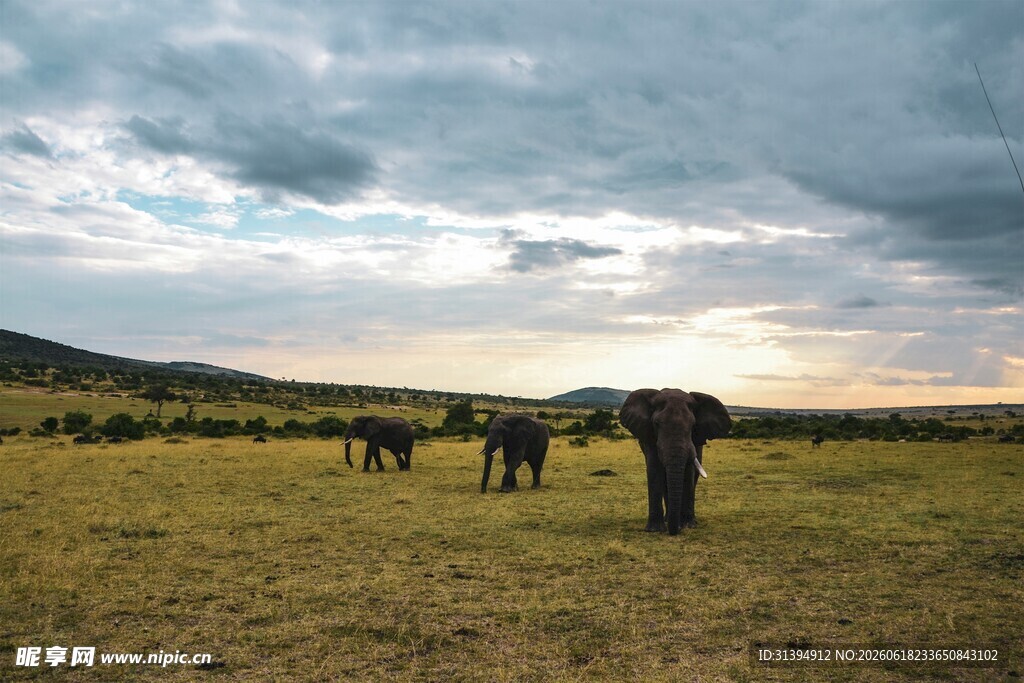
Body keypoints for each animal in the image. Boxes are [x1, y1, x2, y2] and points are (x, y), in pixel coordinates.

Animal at [619, 388, 731, 535]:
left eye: (693, 426)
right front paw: (654, 530)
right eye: (656, 424)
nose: (677, 529)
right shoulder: (650, 437)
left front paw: (687, 525)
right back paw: (668, 519)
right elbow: (654, 470)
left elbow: (688, 474)